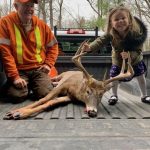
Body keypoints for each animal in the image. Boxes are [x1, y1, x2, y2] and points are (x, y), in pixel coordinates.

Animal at [3, 40, 134, 119]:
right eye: (88, 91)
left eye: (101, 94)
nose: (92, 112)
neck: (76, 90)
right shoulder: (63, 85)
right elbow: (43, 99)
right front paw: (15, 112)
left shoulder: (69, 97)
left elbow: (50, 102)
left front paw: (19, 113)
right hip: (60, 76)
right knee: (53, 80)